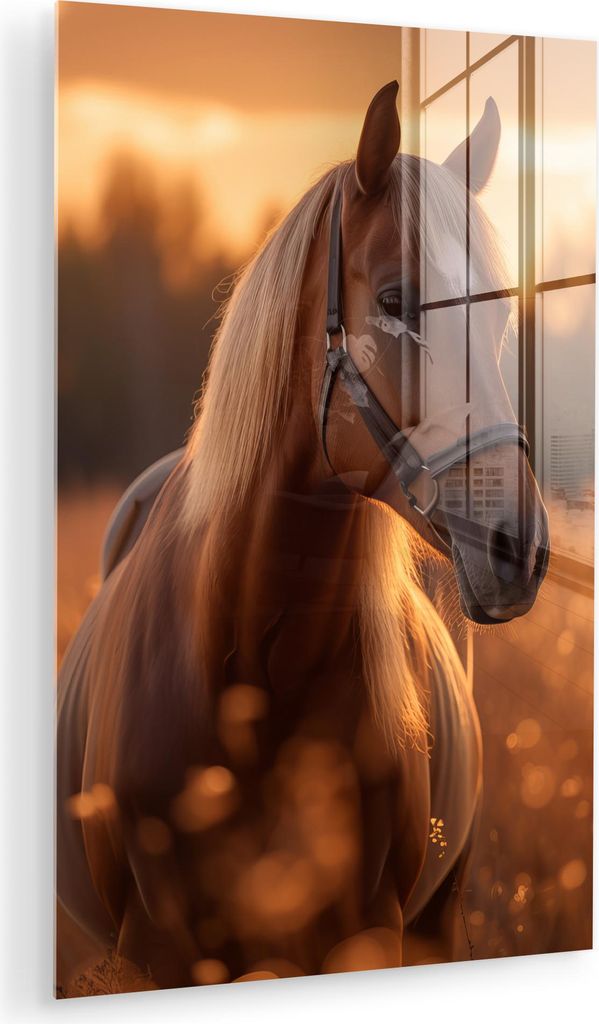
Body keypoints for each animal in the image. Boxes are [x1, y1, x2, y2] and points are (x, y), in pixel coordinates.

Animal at [56, 81, 549, 993]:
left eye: (499, 318)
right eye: (394, 303)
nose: (516, 548)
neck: (252, 661)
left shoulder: (369, 934)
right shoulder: (158, 951)